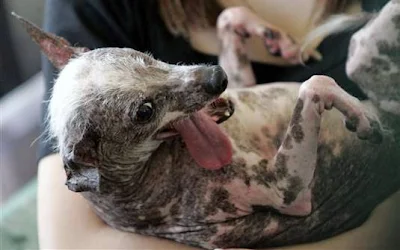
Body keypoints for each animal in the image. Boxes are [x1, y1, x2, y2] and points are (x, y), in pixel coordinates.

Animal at [12, 0, 400, 248]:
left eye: (142, 55)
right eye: (144, 112)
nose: (217, 77)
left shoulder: (243, 82)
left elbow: (227, 16)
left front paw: (274, 38)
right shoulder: (286, 190)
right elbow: (315, 84)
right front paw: (356, 114)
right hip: (365, 60)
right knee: (360, 45)